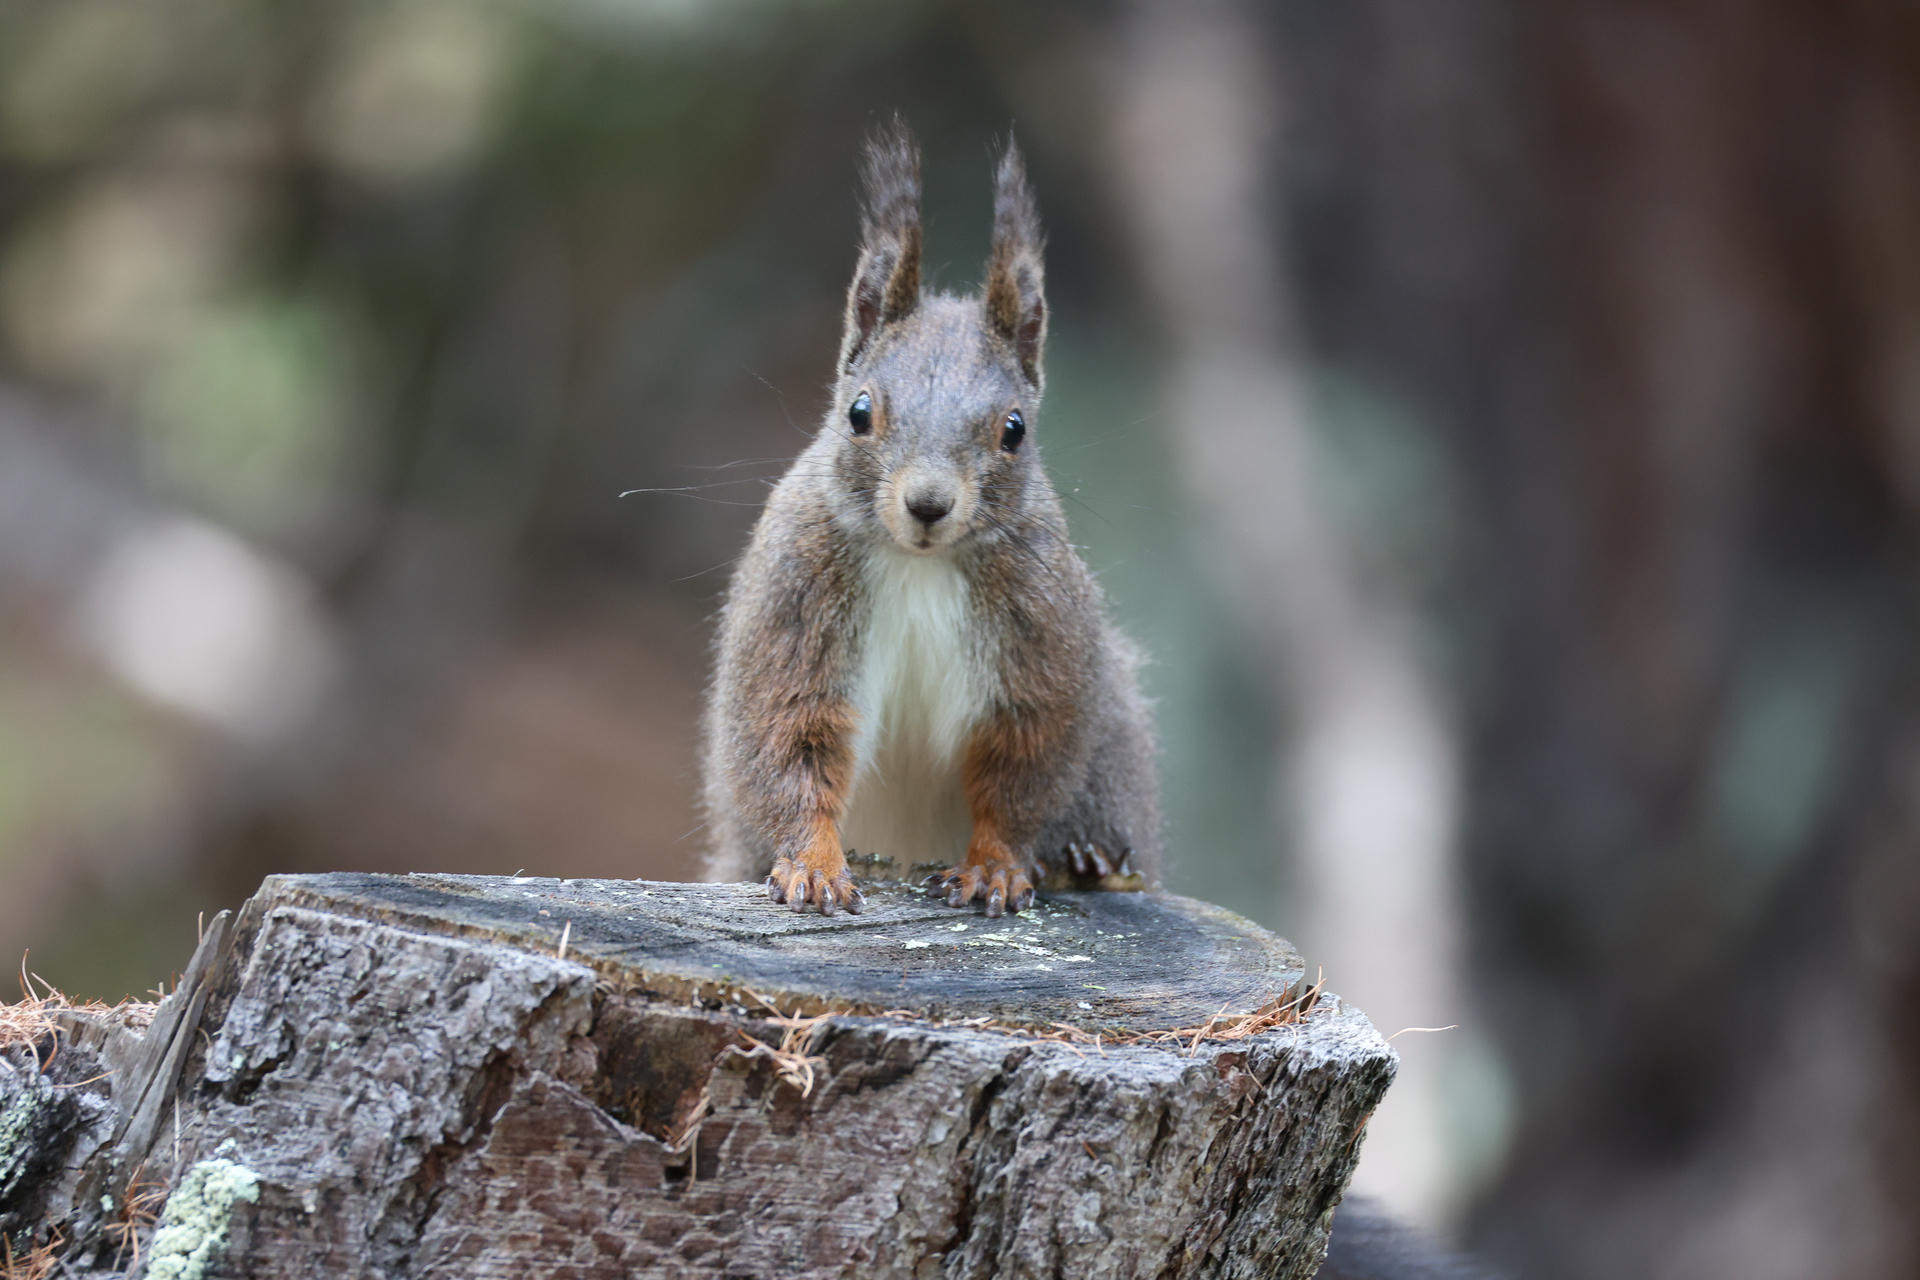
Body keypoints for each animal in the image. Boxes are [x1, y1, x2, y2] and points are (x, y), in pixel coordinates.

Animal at [701, 117, 1162, 917]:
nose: (927, 503)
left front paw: (996, 867)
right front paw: (813, 865)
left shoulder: (1039, 636)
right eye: (858, 413)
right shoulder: (794, 600)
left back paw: (1091, 861)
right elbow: (789, 740)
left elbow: (1020, 769)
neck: (920, 564)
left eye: (1014, 430)